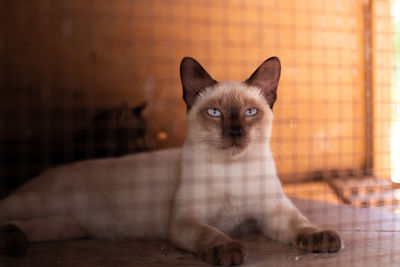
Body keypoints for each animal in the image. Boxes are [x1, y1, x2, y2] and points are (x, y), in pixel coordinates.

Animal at [0, 57, 340, 266]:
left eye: (249, 112)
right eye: (215, 113)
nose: (234, 132)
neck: (233, 171)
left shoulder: (272, 214)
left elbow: (302, 224)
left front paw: (323, 239)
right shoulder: (187, 221)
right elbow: (213, 234)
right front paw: (230, 250)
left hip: (65, 225)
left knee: (24, 226)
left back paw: (14, 241)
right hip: (36, 204)